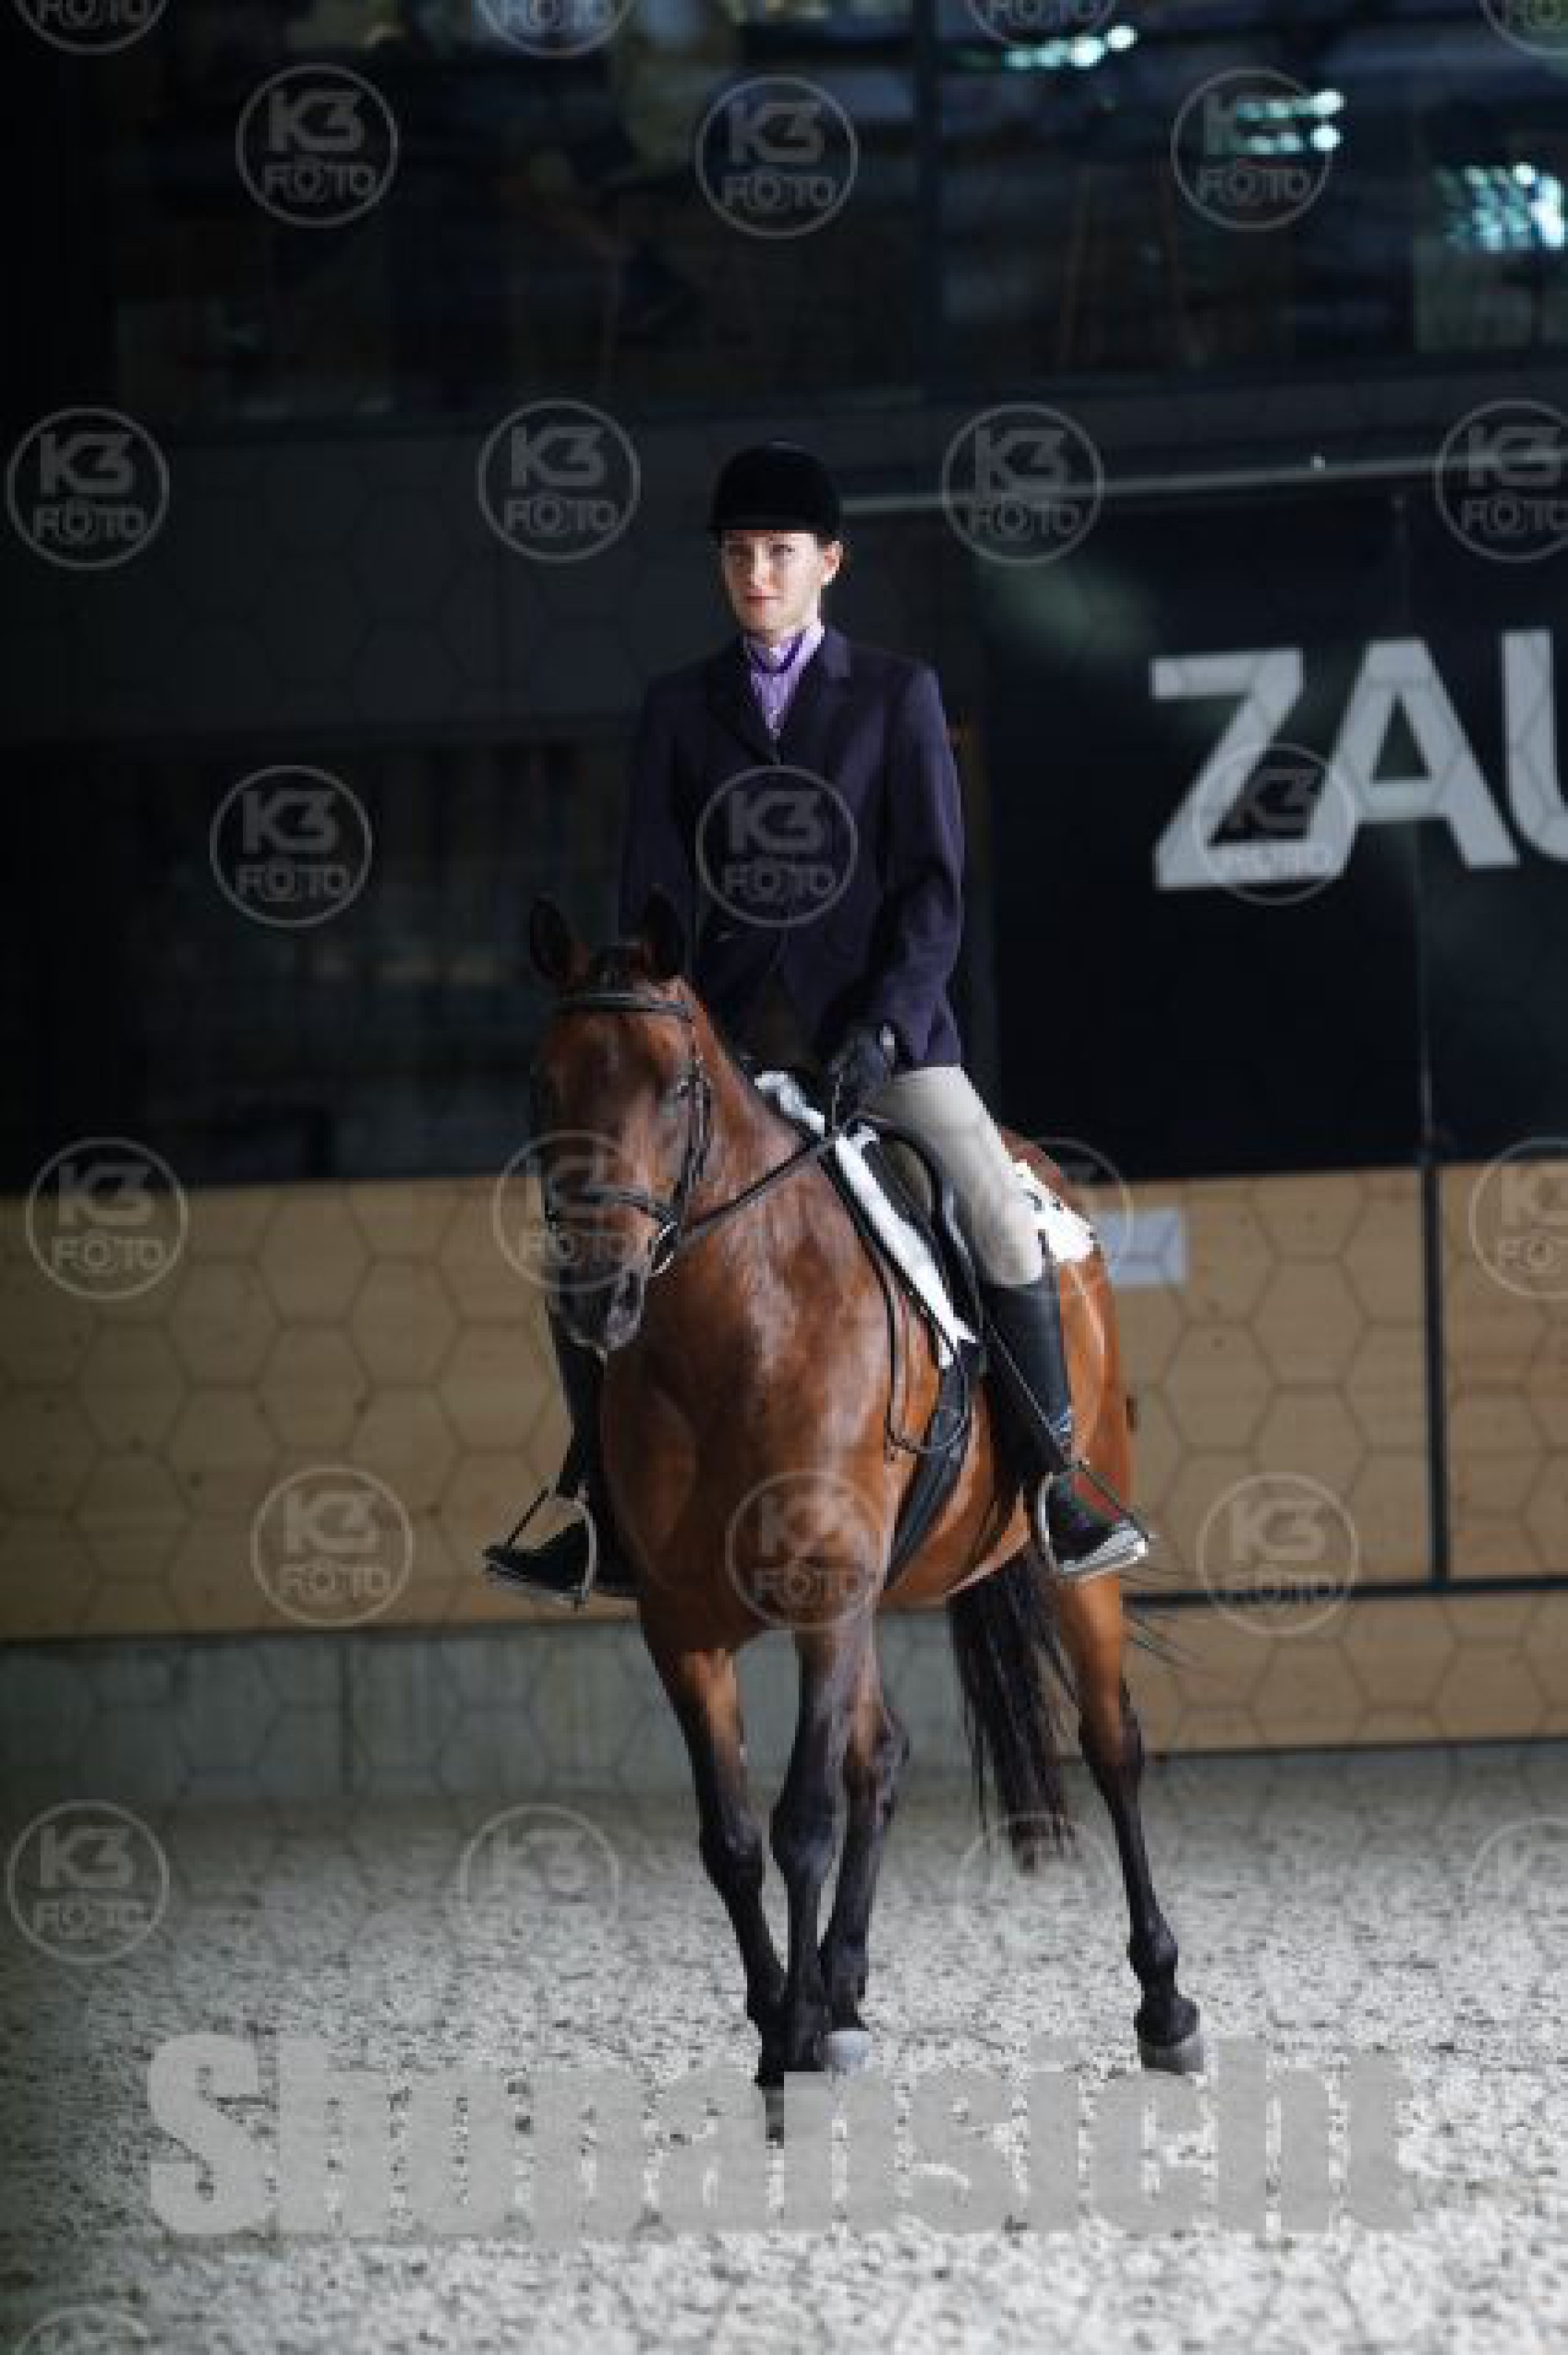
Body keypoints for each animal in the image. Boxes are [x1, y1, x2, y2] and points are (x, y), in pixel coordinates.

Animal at [521, 888, 1202, 2090]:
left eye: (676, 1083)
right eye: (545, 1084)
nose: (600, 1295)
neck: (732, 1331)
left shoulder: (826, 1593)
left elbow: (802, 1821)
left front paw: (789, 2038)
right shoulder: (680, 1627)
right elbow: (733, 1839)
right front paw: (777, 2022)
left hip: (1065, 1568)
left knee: (1111, 1745)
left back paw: (1164, 2005)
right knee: (879, 1759)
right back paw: (841, 1995)